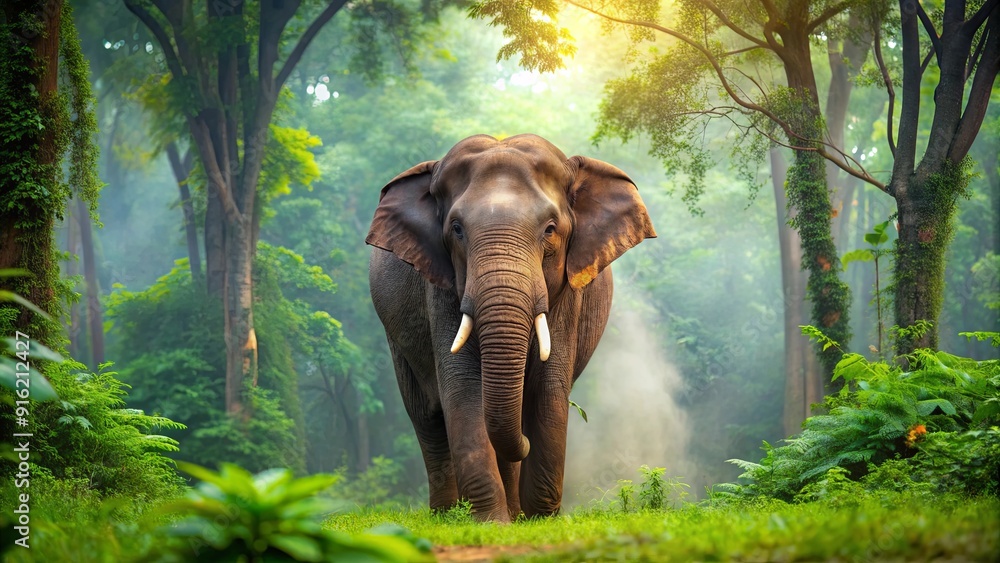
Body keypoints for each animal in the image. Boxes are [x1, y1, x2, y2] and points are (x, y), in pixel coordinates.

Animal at [366, 134, 656, 522]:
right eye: (456, 230)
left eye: (550, 229)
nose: (525, 443)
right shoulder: (440, 285)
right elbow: (463, 388)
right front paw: (492, 523)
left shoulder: (567, 294)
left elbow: (549, 388)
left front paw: (539, 520)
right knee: (427, 416)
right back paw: (447, 515)